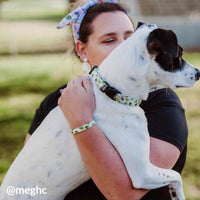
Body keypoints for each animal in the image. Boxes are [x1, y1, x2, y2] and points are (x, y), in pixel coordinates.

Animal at [0, 23, 199, 198]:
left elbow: (173, 175)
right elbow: (175, 175)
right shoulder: (142, 173)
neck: (111, 91)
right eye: (179, 55)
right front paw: (178, 194)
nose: (198, 73)